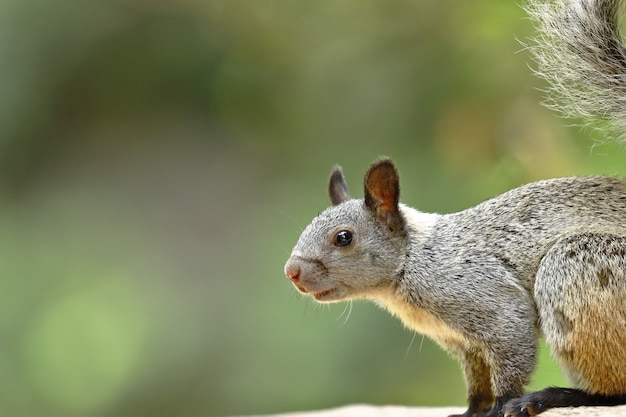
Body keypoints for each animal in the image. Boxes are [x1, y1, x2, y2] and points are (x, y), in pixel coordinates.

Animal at [284, 0, 626, 416]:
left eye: (344, 238)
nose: (291, 272)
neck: (414, 262)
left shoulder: (494, 304)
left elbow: (509, 363)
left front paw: (504, 404)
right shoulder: (463, 343)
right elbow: (477, 382)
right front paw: (472, 410)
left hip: (578, 270)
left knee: (614, 389)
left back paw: (558, 396)